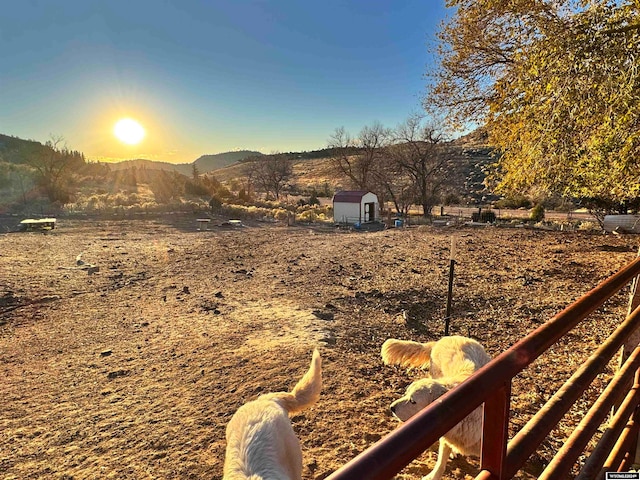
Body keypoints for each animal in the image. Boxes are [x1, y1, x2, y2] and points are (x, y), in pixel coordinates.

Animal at [382, 336, 492, 480]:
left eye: (413, 401)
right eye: (406, 393)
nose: (391, 408)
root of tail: (445, 338)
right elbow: (441, 461)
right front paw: (432, 476)